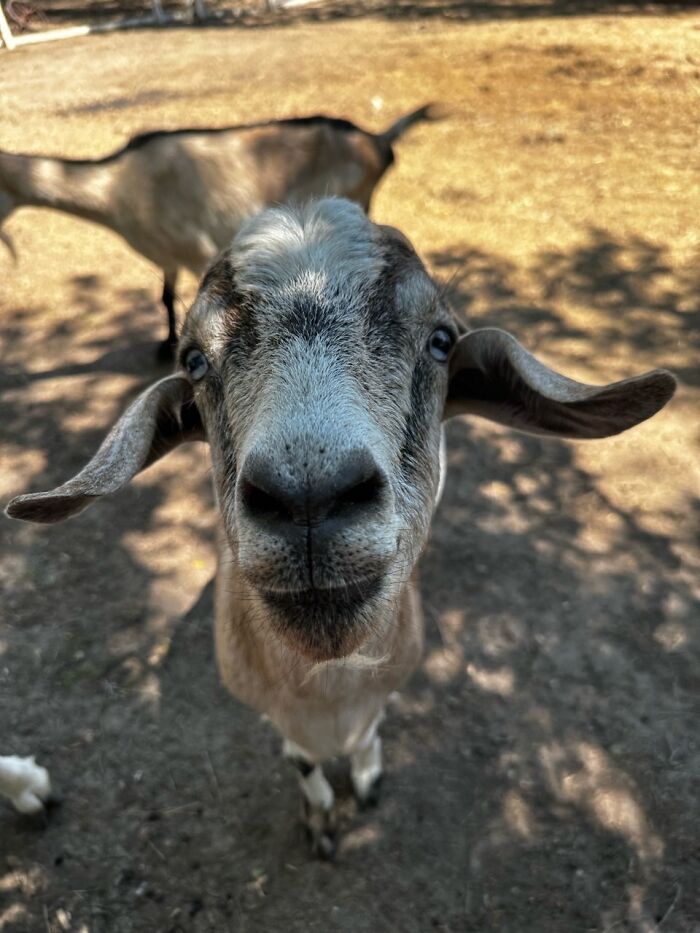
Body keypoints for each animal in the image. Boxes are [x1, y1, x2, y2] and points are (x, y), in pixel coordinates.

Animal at [0, 106, 434, 358]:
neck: (118, 185)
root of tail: (377, 142)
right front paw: (165, 344)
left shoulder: (198, 250)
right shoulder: (168, 255)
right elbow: (165, 297)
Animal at [5, 198, 676, 857]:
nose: (308, 495)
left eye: (440, 340)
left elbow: (372, 731)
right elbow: (302, 761)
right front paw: (322, 820)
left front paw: (368, 777)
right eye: (194, 359)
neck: (329, 695)